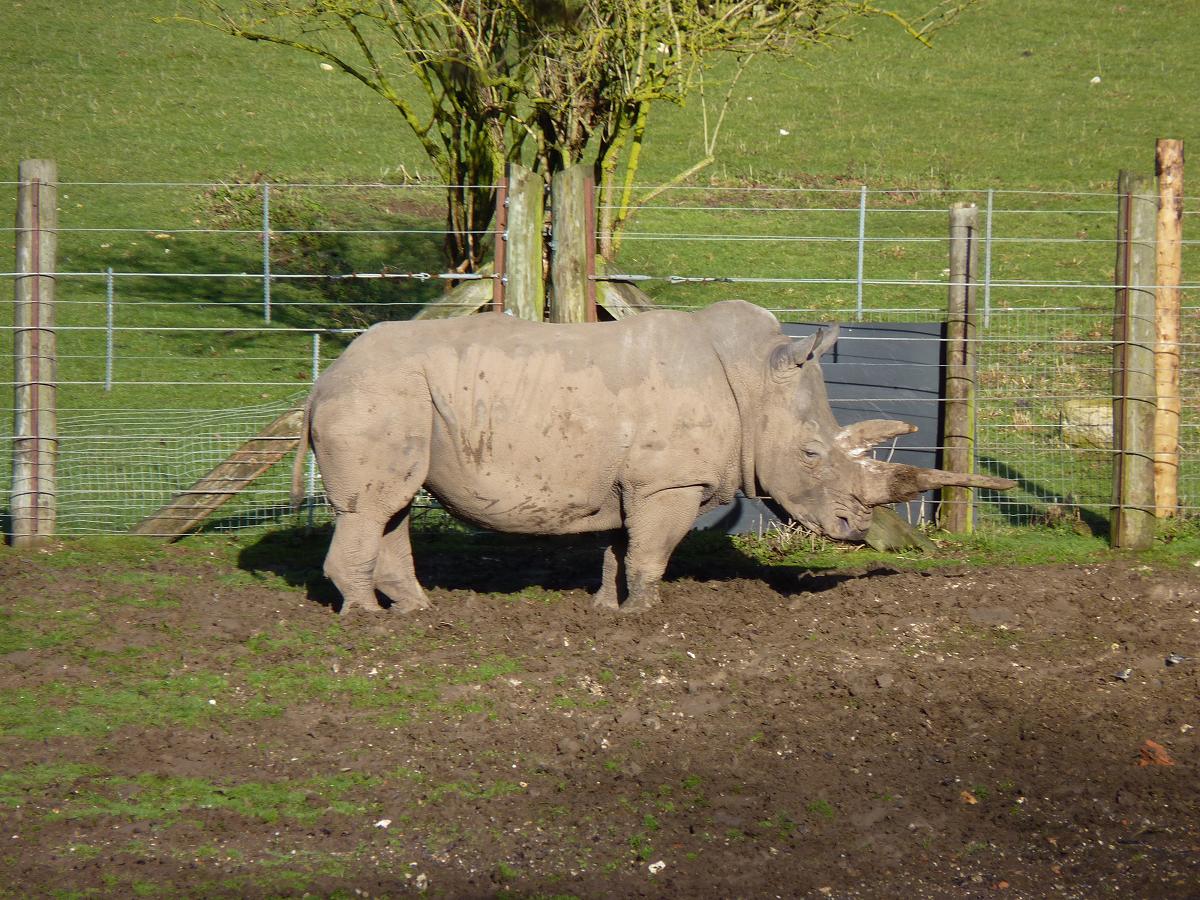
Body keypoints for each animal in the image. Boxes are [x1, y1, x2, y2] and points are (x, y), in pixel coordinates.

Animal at [291, 300, 1012, 614]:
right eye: (811, 453)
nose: (854, 527)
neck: (754, 380)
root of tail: (322, 382)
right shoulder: (670, 483)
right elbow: (654, 550)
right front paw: (646, 616)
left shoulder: (637, 482)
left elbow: (623, 546)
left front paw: (610, 610)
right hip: (376, 398)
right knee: (373, 507)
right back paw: (369, 622)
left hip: (396, 399)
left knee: (391, 505)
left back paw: (416, 611)